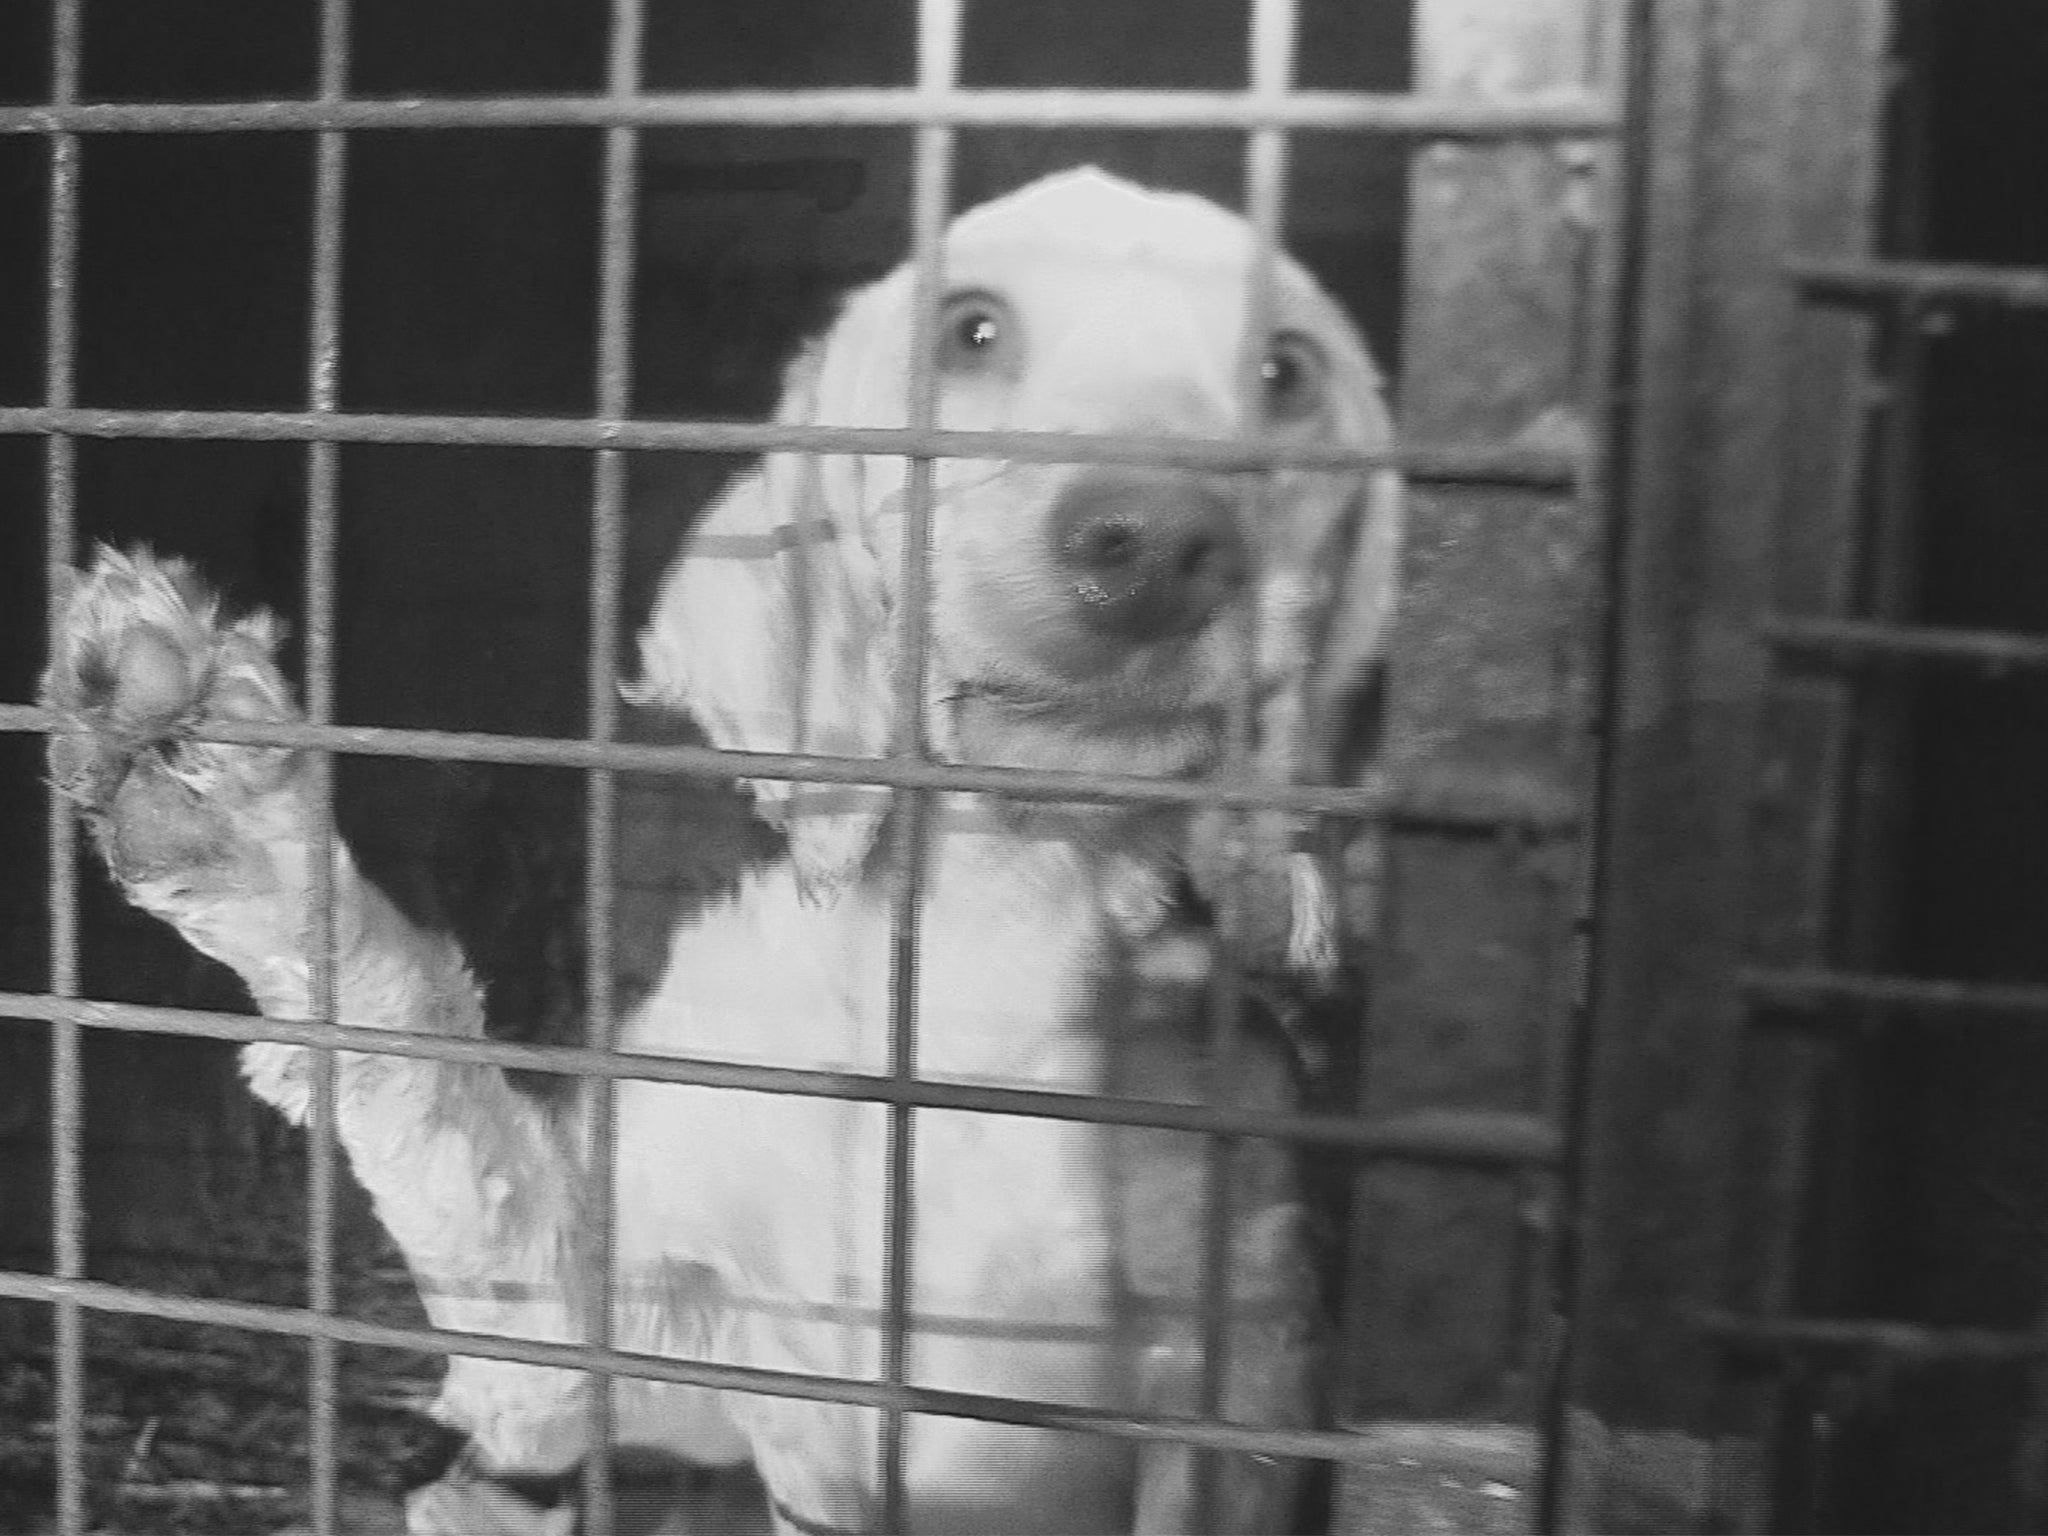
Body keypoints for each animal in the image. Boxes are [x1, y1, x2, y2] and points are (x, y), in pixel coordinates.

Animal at [44, 171, 1392, 1536]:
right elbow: (432, 1092)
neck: (997, 932)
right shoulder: (588, 1330)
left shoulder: (1238, 1373)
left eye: (1285, 372)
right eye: (969, 332)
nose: (1156, 541)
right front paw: (211, 790)